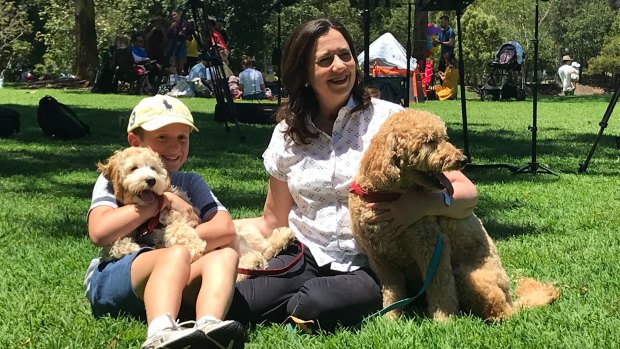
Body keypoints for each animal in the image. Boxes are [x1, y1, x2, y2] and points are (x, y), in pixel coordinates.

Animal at [98, 145, 296, 278]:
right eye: (133, 168)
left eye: (153, 168)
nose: (151, 180)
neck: (149, 220)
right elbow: (108, 248)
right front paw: (128, 246)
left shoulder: (179, 211)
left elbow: (177, 228)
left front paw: (193, 247)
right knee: (251, 262)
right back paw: (255, 262)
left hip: (242, 231)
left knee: (265, 248)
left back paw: (281, 239)